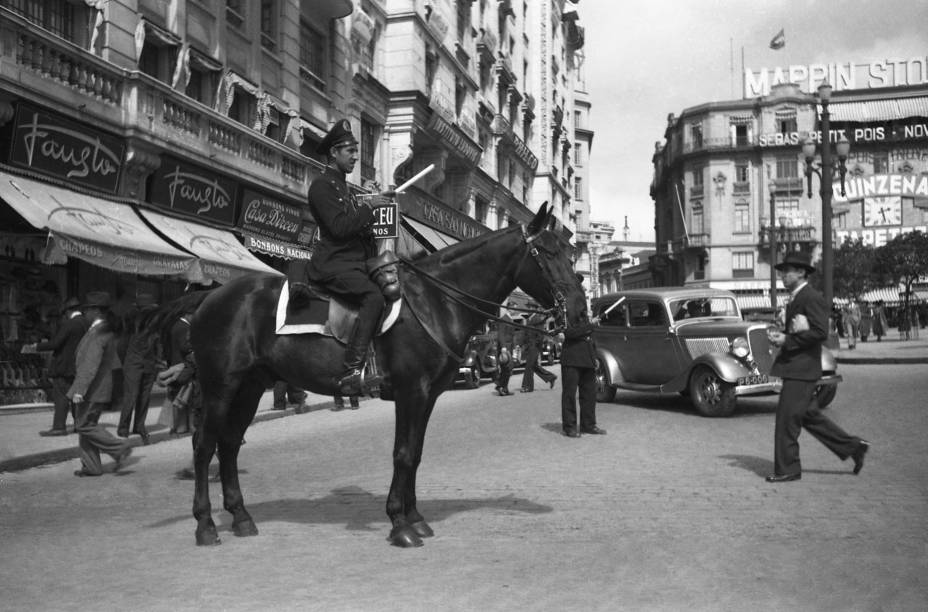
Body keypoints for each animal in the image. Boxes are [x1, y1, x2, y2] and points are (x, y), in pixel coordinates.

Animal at [164, 203, 584, 548]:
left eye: (568, 253)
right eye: (548, 252)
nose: (580, 308)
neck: (435, 301)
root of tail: (210, 296)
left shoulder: (428, 395)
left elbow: (415, 453)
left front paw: (415, 517)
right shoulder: (411, 391)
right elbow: (402, 453)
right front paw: (400, 524)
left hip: (250, 385)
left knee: (229, 444)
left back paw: (240, 517)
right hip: (220, 385)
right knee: (204, 445)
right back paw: (206, 525)